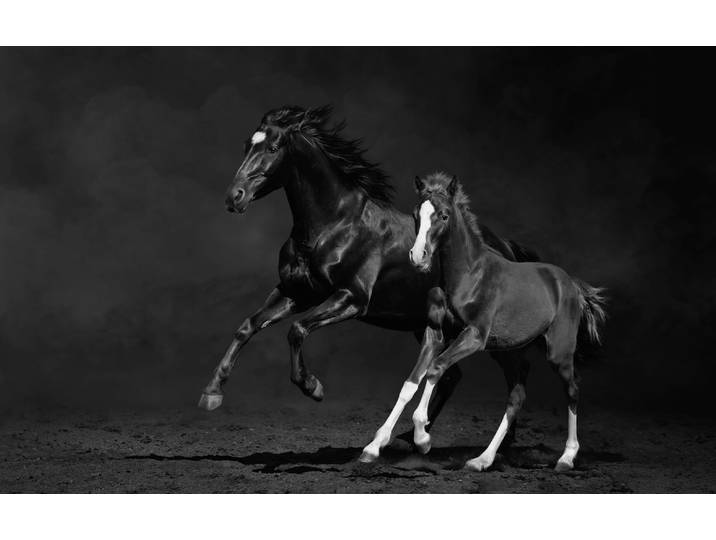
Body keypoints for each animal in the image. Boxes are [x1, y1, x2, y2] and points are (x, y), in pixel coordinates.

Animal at [197, 106, 540, 446]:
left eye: (272, 148)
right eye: (246, 145)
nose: (234, 197)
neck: (334, 224)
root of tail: (505, 247)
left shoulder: (351, 298)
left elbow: (297, 330)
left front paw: (312, 387)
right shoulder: (296, 292)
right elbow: (247, 326)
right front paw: (212, 393)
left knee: (513, 379)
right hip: (424, 325)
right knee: (451, 376)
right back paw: (411, 437)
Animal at [361, 172, 606, 472]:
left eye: (443, 215)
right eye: (416, 214)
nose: (418, 257)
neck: (469, 276)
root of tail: (570, 283)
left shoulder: (475, 336)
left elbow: (436, 368)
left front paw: (422, 438)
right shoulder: (435, 333)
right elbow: (411, 382)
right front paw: (374, 446)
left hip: (558, 351)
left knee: (572, 389)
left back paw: (567, 457)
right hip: (510, 352)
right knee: (517, 396)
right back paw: (482, 459)